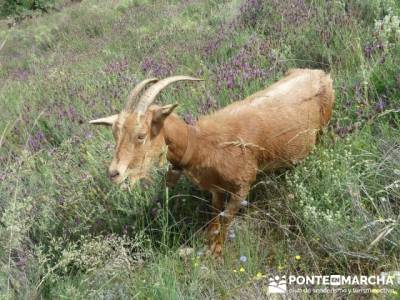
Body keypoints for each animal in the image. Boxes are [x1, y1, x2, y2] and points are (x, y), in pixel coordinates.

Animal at [90, 68, 334, 255]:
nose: (114, 173)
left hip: (323, 129)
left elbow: (226, 218)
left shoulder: (242, 186)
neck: (202, 144)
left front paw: (217, 252)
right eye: (115, 134)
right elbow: (214, 216)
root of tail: (319, 73)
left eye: (141, 135)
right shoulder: (216, 189)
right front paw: (209, 243)